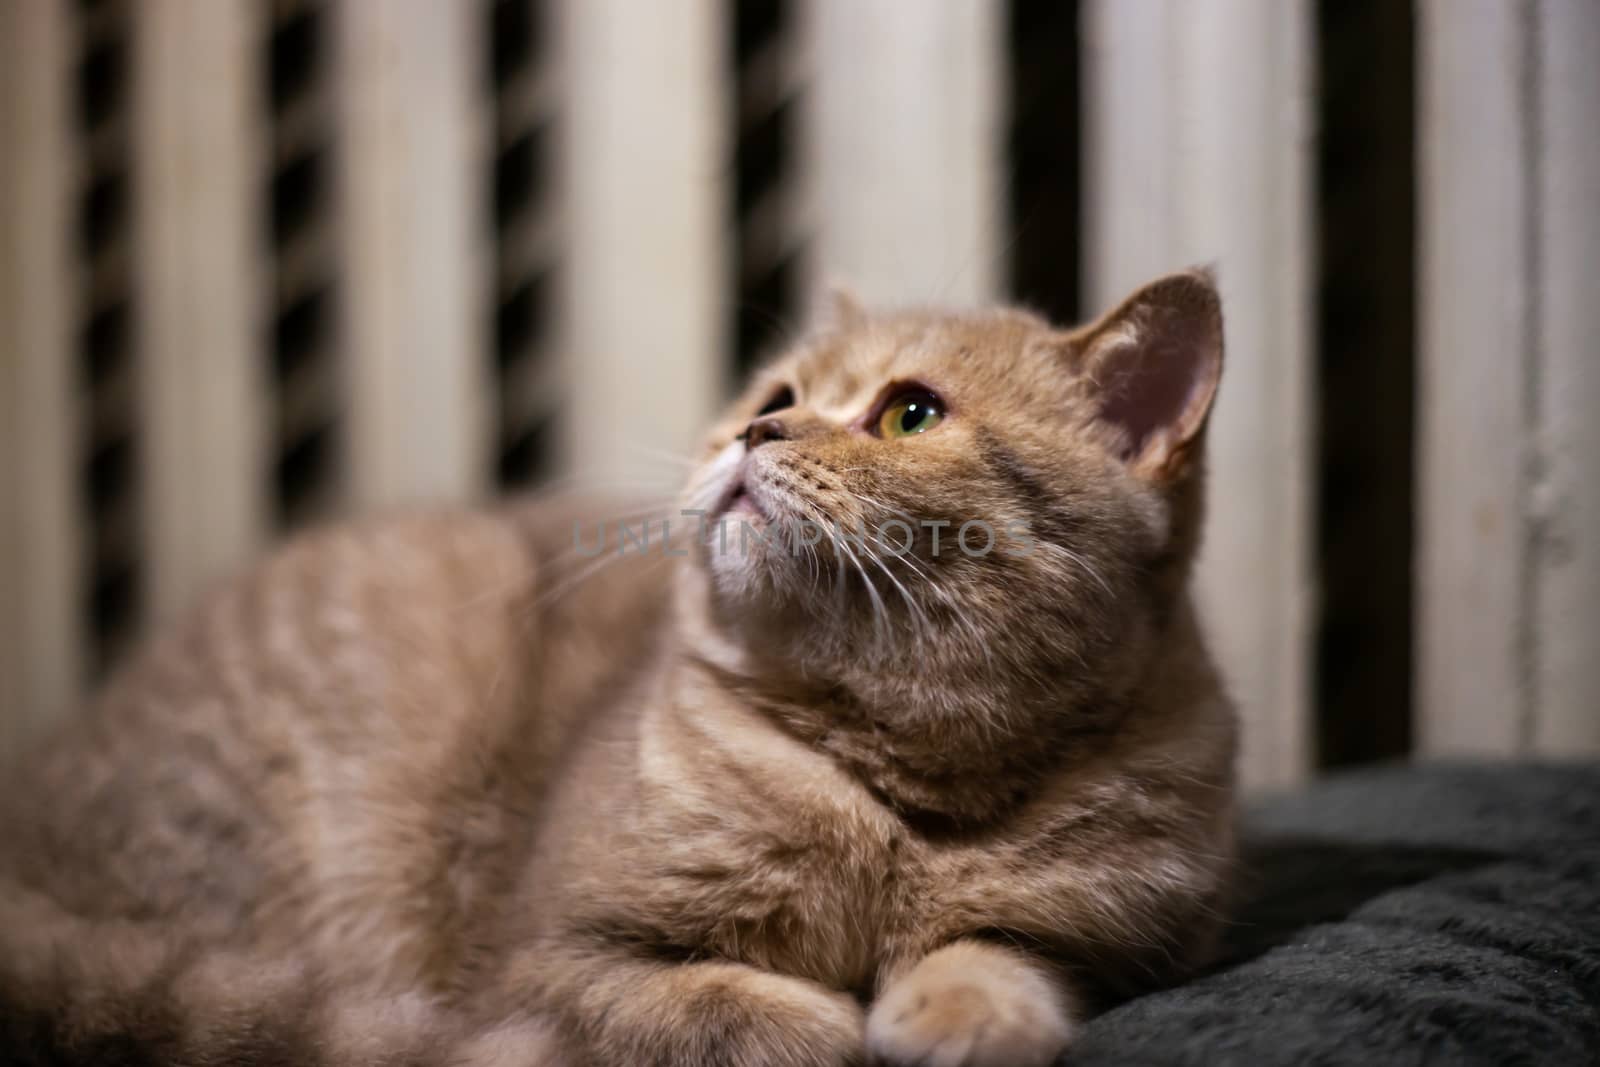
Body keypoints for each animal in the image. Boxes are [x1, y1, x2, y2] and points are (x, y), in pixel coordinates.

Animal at [0, 268, 1235, 1067]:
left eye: (910, 413)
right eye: (775, 397)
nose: (756, 436)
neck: (892, 798)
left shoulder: (1126, 940)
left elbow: (1004, 950)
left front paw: (956, 1008)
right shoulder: (542, 962)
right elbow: (704, 1005)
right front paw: (818, 1019)